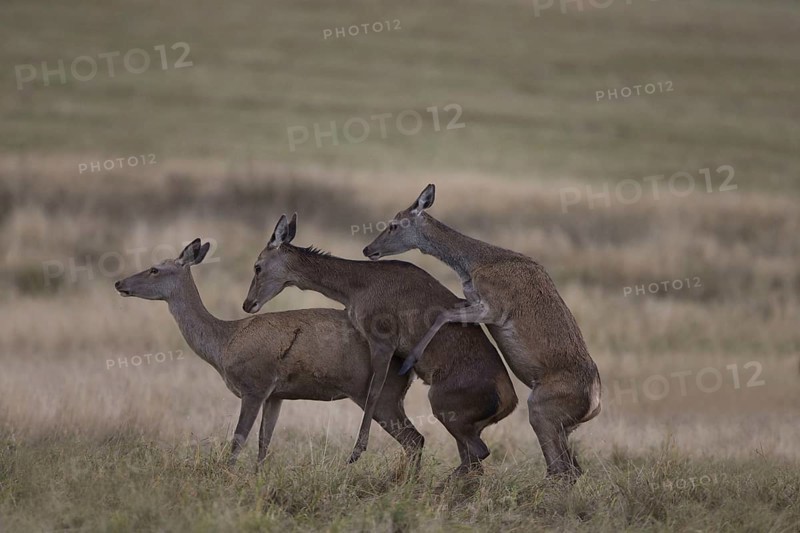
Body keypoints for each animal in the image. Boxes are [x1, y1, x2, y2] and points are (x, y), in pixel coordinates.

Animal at [114, 238, 424, 469]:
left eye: (154, 269)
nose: (119, 284)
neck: (224, 343)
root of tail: (409, 366)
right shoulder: (276, 394)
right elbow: (264, 443)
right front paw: (257, 478)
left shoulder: (255, 384)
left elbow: (239, 439)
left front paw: (226, 477)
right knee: (416, 440)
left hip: (380, 395)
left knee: (415, 439)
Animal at [242, 214, 518, 477]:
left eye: (257, 266)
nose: (248, 304)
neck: (355, 288)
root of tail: (509, 401)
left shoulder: (383, 339)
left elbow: (373, 392)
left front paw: (356, 452)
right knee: (469, 457)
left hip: (443, 405)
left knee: (475, 452)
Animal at [362, 184, 602, 482]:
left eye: (393, 224)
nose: (368, 249)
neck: (474, 265)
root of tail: (595, 403)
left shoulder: (494, 308)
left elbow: (443, 314)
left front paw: (408, 363)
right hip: (563, 425)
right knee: (570, 468)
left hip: (541, 409)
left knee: (561, 469)